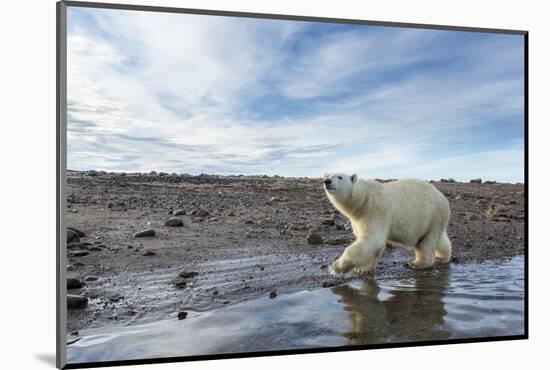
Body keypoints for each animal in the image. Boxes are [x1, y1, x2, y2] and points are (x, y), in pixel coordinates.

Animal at [324, 172, 452, 274]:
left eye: (340, 177)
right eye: (328, 175)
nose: (327, 181)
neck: (362, 199)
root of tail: (443, 198)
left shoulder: (374, 211)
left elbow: (371, 240)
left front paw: (335, 267)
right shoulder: (358, 219)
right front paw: (363, 269)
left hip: (431, 215)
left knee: (426, 242)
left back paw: (416, 264)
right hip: (434, 220)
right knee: (439, 239)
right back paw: (442, 257)